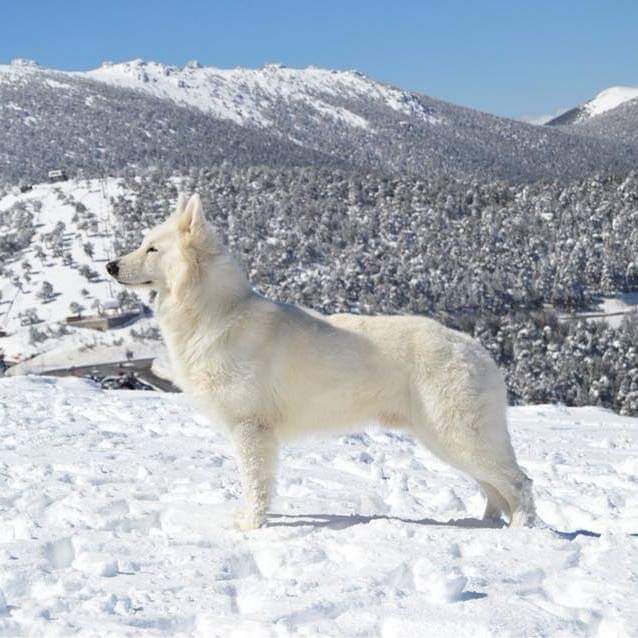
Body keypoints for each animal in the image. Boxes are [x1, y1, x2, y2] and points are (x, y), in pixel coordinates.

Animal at [107, 192, 536, 532]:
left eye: (152, 249)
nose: (110, 266)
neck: (217, 312)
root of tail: (478, 349)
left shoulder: (251, 430)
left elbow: (255, 485)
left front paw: (250, 525)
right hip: (445, 441)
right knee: (494, 487)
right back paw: (484, 525)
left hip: (458, 436)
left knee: (519, 482)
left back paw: (522, 531)